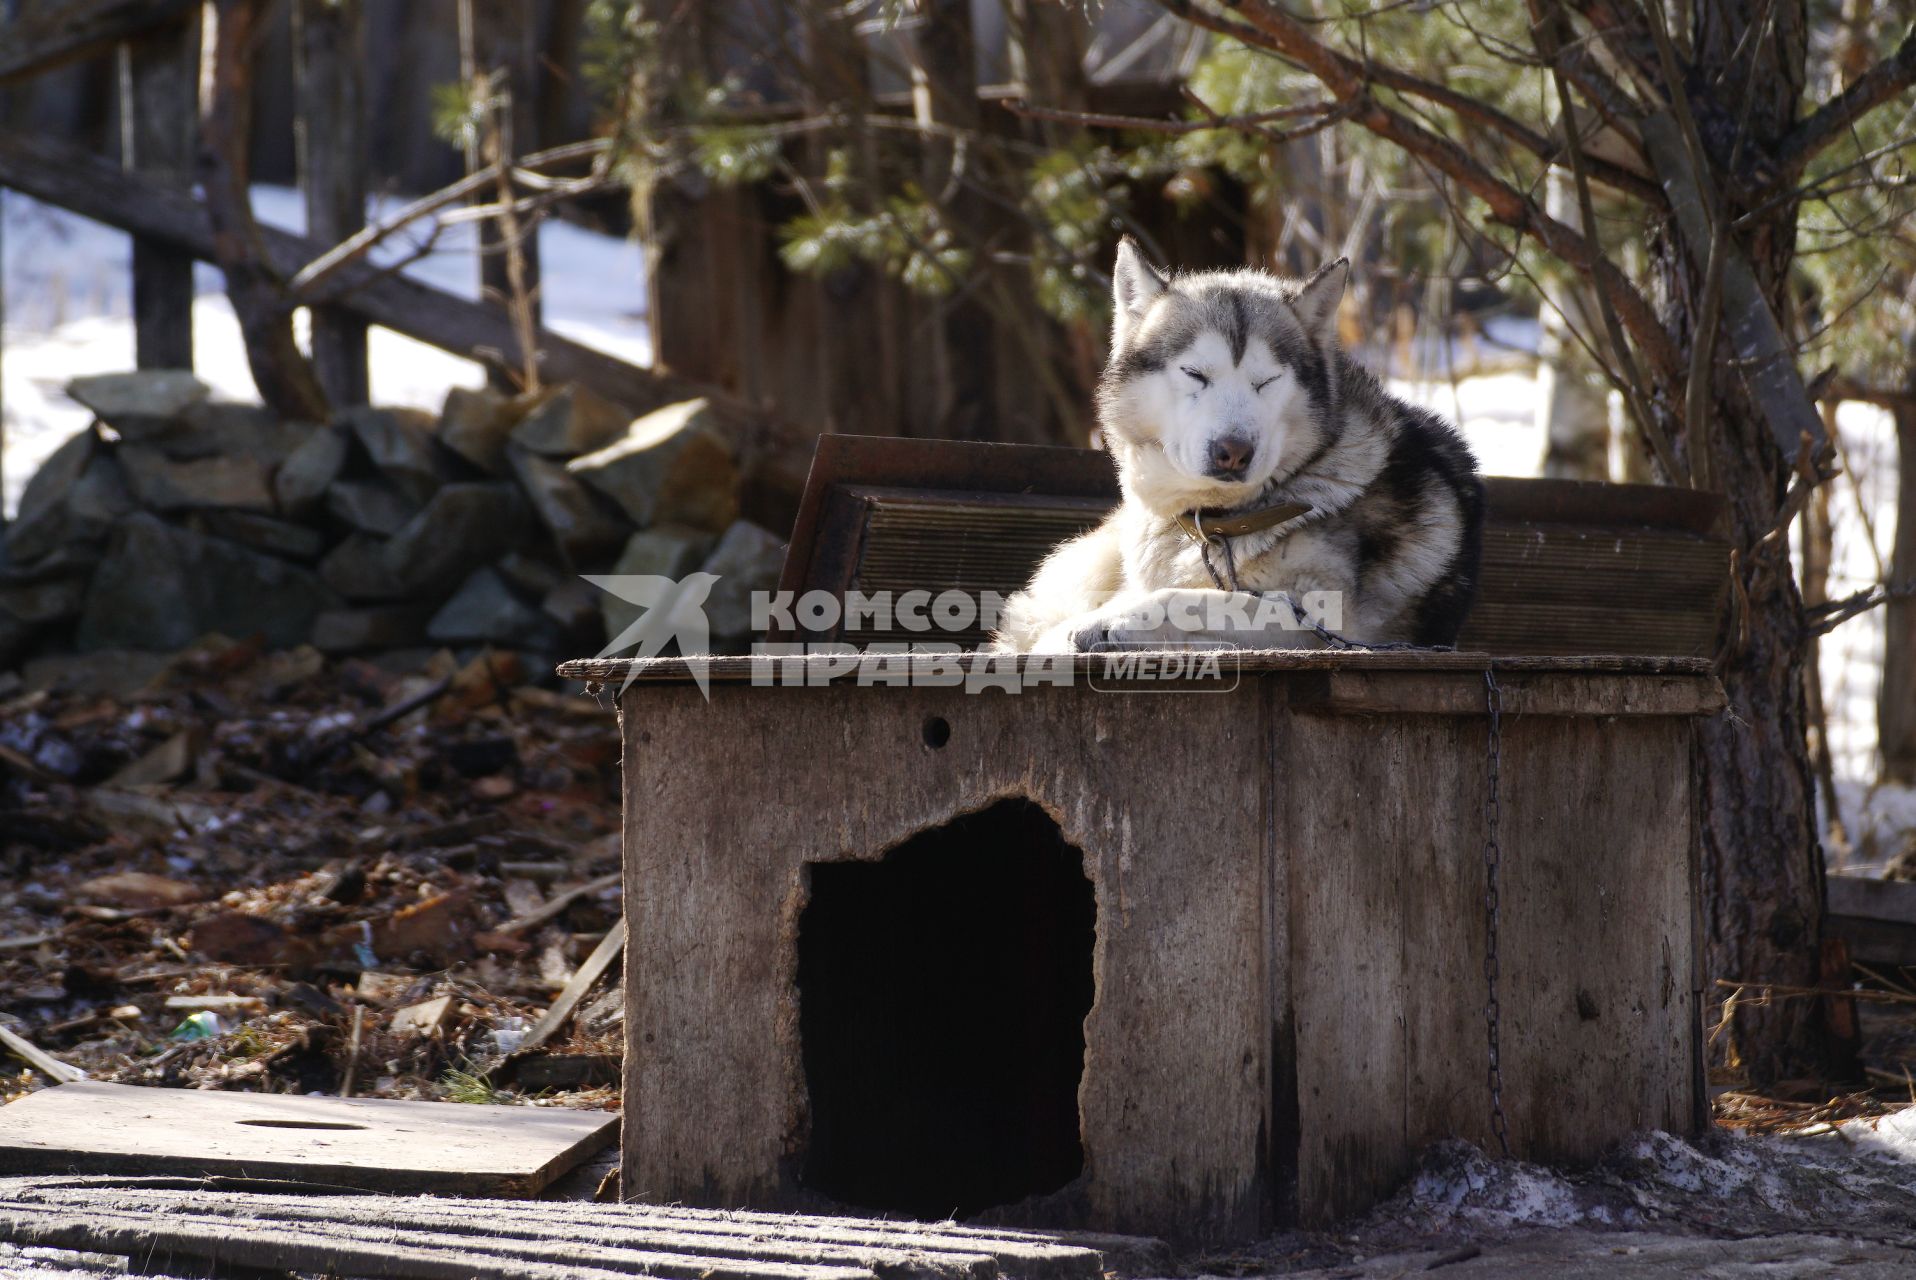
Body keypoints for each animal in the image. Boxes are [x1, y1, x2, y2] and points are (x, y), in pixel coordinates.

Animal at [996, 239, 1486, 655]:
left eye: (1266, 381)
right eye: (1195, 373)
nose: (1233, 450)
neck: (1219, 521)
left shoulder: (1329, 621)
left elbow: (1186, 599)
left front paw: (1109, 623)